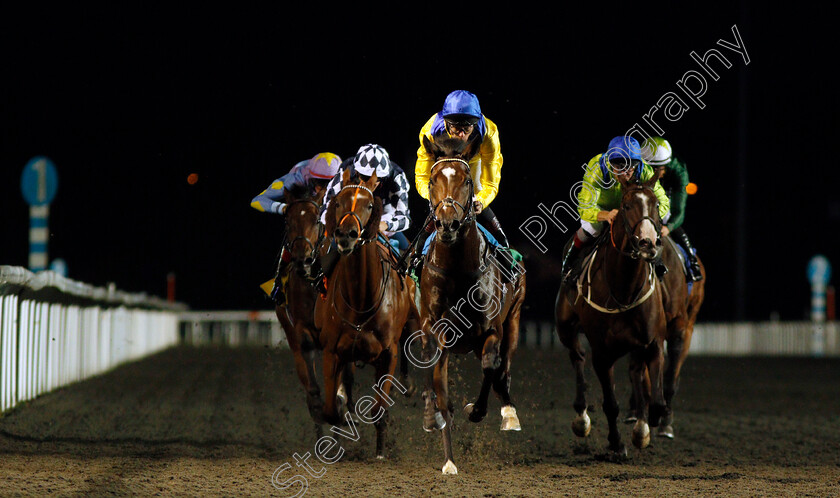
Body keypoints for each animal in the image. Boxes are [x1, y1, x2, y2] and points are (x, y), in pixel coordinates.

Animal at [316, 169, 420, 458]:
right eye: (338, 202)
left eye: (370, 205)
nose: (346, 235)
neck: (361, 298)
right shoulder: (331, 351)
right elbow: (332, 409)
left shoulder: (388, 354)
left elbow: (379, 410)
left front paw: (381, 451)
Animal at [418, 135, 528, 474]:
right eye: (433, 181)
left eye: (467, 180)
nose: (447, 224)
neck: (456, 269)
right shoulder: (434, 330)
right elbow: (439, 389)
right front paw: (442, 439)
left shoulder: (491, 329)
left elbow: (491, 365)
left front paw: (476, 410)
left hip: (514, 319)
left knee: (503, 368)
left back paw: (509, 413)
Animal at [556, 175, 668, 460]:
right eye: (626, 206)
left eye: (655, 204)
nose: (648, 243)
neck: (624, 290)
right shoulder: (602, 353)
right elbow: (610, 404)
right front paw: (616, 443)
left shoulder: (653, 344)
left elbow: (657, 402)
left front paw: (644, 429)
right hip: (565, 328)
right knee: (577, 357)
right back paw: (581, 418)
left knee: (637, 373)